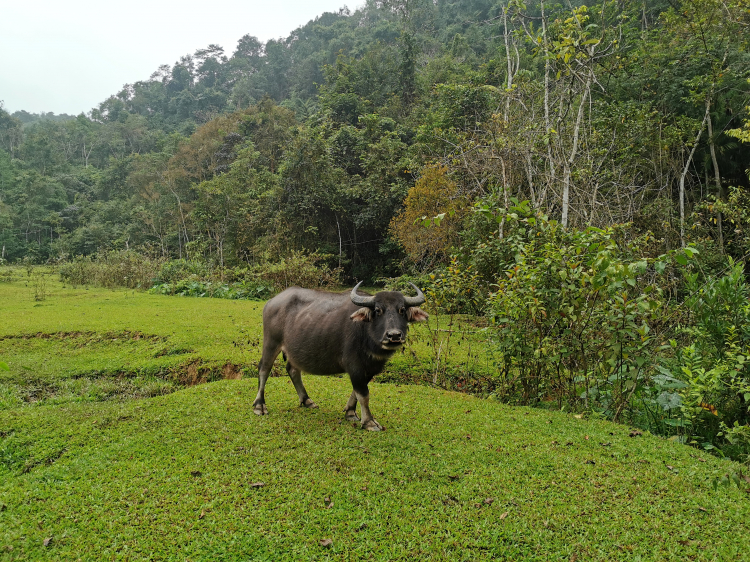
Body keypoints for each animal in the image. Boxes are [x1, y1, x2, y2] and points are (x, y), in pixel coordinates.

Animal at [253, 280, 428, 428]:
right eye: (378, 310)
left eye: (402, 310)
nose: (394, 335)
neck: (365, 332)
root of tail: (271, 302)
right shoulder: (354, 365)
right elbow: (363, 394)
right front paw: (369, 422)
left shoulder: (370, 368)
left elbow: (357, 391)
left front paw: (350, 412)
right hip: (271, 342)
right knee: (264, 369)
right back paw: (259, 405)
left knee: (293, 369)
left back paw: (307, 400)